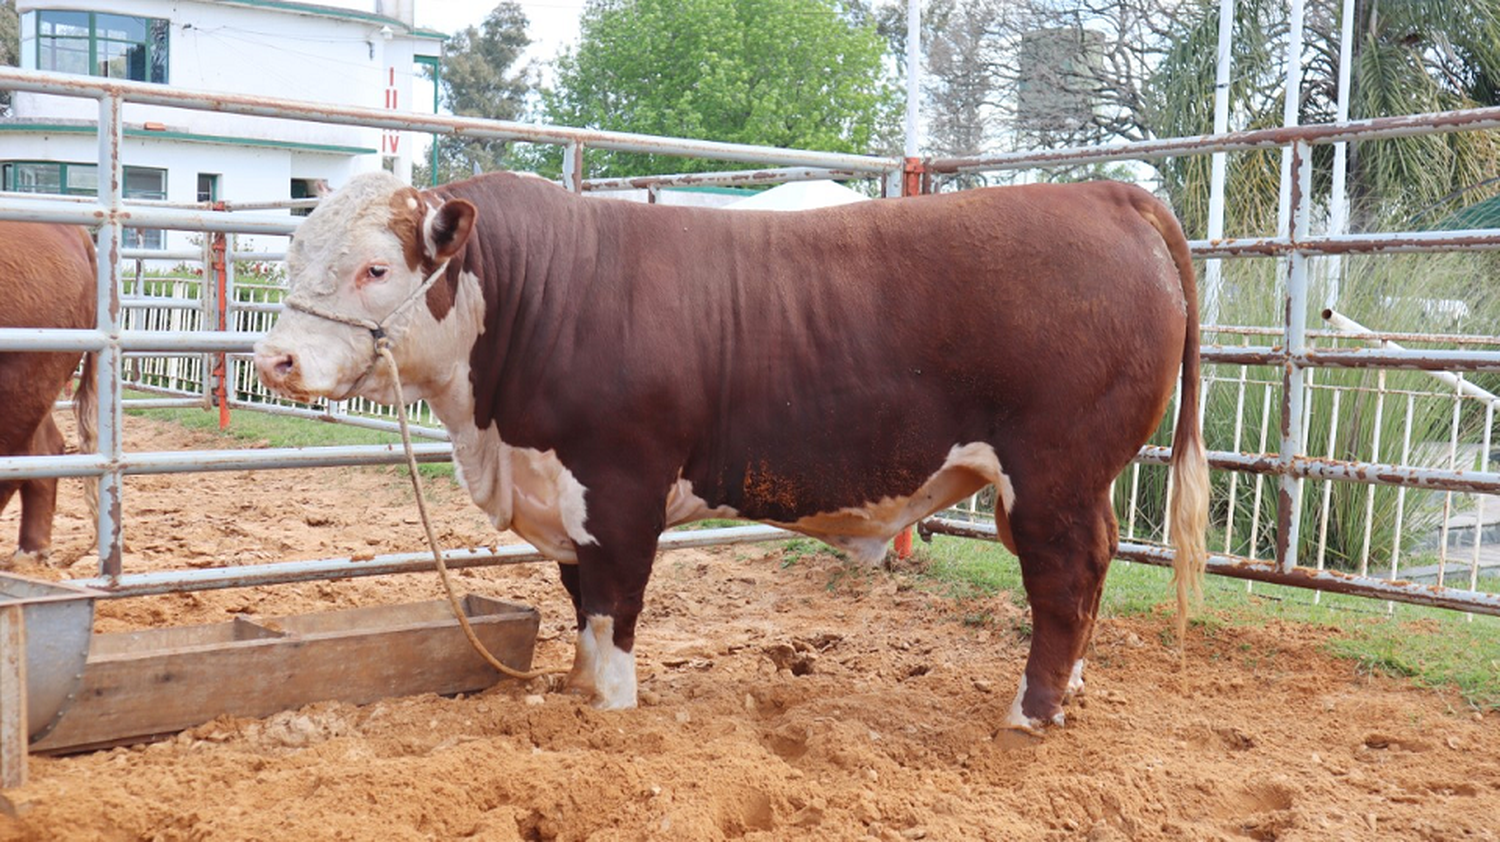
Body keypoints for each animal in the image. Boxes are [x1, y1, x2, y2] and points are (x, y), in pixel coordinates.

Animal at [255, 171, 1206, 729]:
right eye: (295, 250)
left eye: (377, 268)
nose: (276, 359)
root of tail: (1104, 192)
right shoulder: (561, 495)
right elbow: (577, 600)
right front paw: (577, 689)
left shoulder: (619, 486)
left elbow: (613, 600)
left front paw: (612, 704)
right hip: (1068, 481)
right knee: (1093, 568)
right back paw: (1070, 687)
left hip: (1051, 473)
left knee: (1065, 578)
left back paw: (1032, 712)